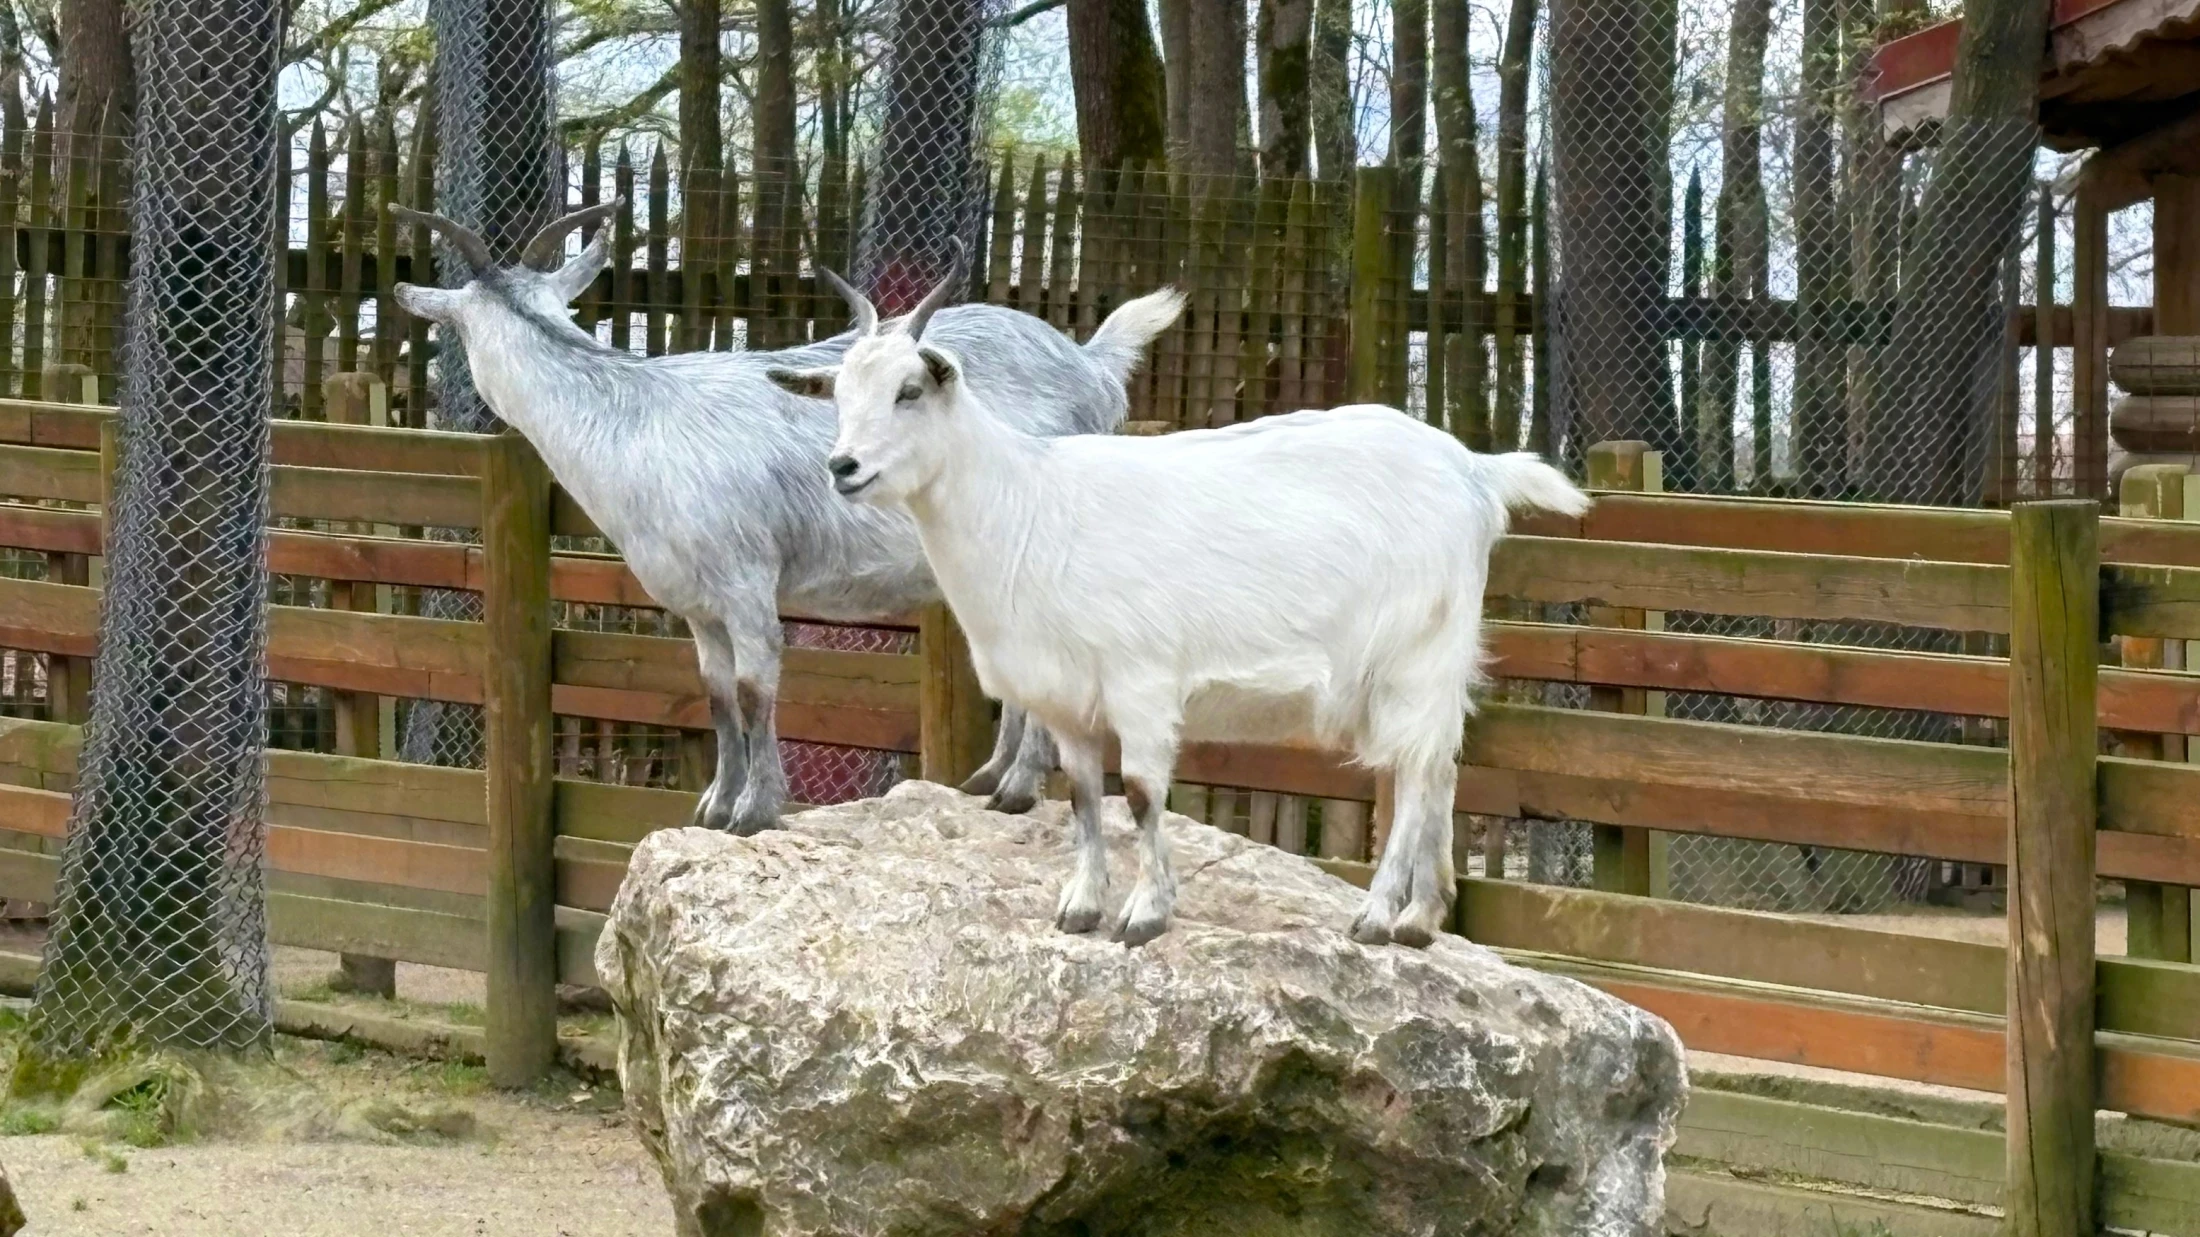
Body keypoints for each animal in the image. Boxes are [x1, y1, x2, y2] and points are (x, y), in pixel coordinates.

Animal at [390, 202, 1183, 835]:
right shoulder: (696, 603)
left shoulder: (746, 581)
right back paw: (991, 780)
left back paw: (1018, 787)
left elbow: (754, 689)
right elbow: (715, 695)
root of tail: (1093, 365)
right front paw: (714, 805)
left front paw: (756, 810)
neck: (634, 420)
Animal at [771, 270, 1590, 946]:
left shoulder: (1142, 679)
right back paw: (1424, 917)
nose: (843, 466)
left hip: (1416, 653)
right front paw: (1080, 906)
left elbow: (1140, 794)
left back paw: (1378, 914)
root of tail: (1475, 470)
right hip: (1431, 666)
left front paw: (1145, 914)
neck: (1028, 502)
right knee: (1441, 764)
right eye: (839, 397)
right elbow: (1083, 797)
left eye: (910, 391)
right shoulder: (1068, 697)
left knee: (1416, 776)